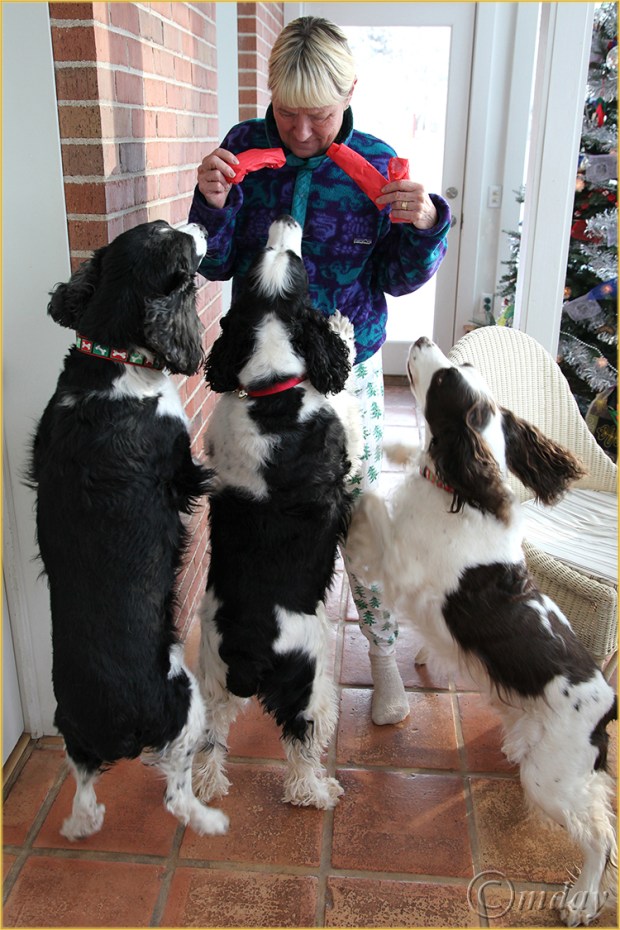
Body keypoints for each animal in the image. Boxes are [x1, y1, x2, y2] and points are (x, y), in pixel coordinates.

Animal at [28, 220, 228, 840]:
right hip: (183, 701)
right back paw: (209, 819)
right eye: (176, 241)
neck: (111, 360)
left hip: (72, 730)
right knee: (175, 794)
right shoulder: (185, 468)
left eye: (159, 227)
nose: (200, 222)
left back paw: (80, 824)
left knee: (84, 784)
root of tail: (112, 718)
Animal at [194, 215, 362, 810]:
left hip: (213, 678)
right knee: (302, 743)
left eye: (253, 265)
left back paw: (207, 787)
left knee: (209, 742)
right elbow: (347, 403)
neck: (270, 390)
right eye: (297, 262)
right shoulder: (342, 435)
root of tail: (249, 650)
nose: (286, 219)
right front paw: (344, 328)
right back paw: (320, 790)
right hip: (308, 679)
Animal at [347, 336, 617, 927]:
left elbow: (371, 496)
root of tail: (606, 702)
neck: (458, 491)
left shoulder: (398, 563)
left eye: (447, 379)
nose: (422, 339)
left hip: (551, 780)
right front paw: (399, 449)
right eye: (463, 366)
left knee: (600, 837)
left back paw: (582, 898)